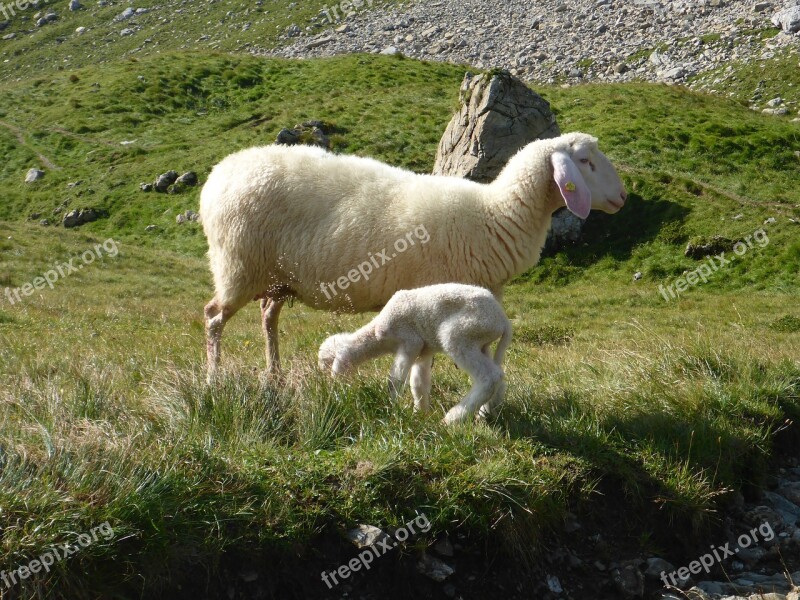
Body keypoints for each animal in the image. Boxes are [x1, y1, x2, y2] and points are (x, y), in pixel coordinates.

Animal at [198, 132, 624, 378]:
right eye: (585, 161)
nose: (622, 197)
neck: (494, 214)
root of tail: (220, 172)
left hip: (276, 277)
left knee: (267, 317)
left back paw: (275, 374)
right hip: (237, 265)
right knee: (214, 317)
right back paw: (214, 379)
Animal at [316, 284, 510, 424]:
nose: (336, 392)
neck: (378, 335)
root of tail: (503, 319)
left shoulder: (410, 341)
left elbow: (395, 381)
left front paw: (392, 408)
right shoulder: (423, 351)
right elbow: (418, 384)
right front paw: (420, 414)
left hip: (461, 334)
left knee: (489, 377)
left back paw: (452, 419)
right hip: (481, 343)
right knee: (498, 377)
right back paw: (484, 414)